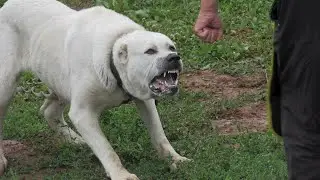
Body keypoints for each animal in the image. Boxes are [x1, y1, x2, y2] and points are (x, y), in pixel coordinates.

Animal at [0, 0, 190, 179]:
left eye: (171, 47)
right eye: (150, 51)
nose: (174, 57)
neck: (112, 61)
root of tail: (7, 5)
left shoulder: (146, 101)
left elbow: (159, 134)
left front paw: (175, 158)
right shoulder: (83, 114)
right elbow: (107, 149)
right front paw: (121, 175)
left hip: (59, 81)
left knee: (49, 111)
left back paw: (75, 139)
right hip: (6, 87)